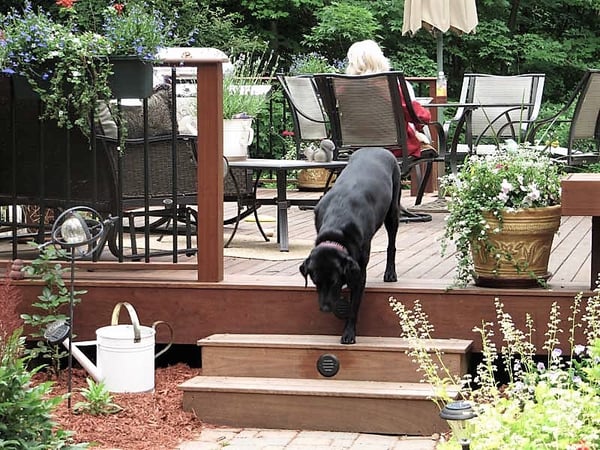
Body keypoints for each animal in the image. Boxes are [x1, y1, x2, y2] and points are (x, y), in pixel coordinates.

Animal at [298, 148, 398, 344]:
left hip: (392, 211)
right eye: (315, 281)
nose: (325, 309)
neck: (336, 228)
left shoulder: (359, 272)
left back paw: (390, 273)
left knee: (392, 245)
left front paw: (349, 333)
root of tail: (377, 148)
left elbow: (354, 307)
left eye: (334, 281)